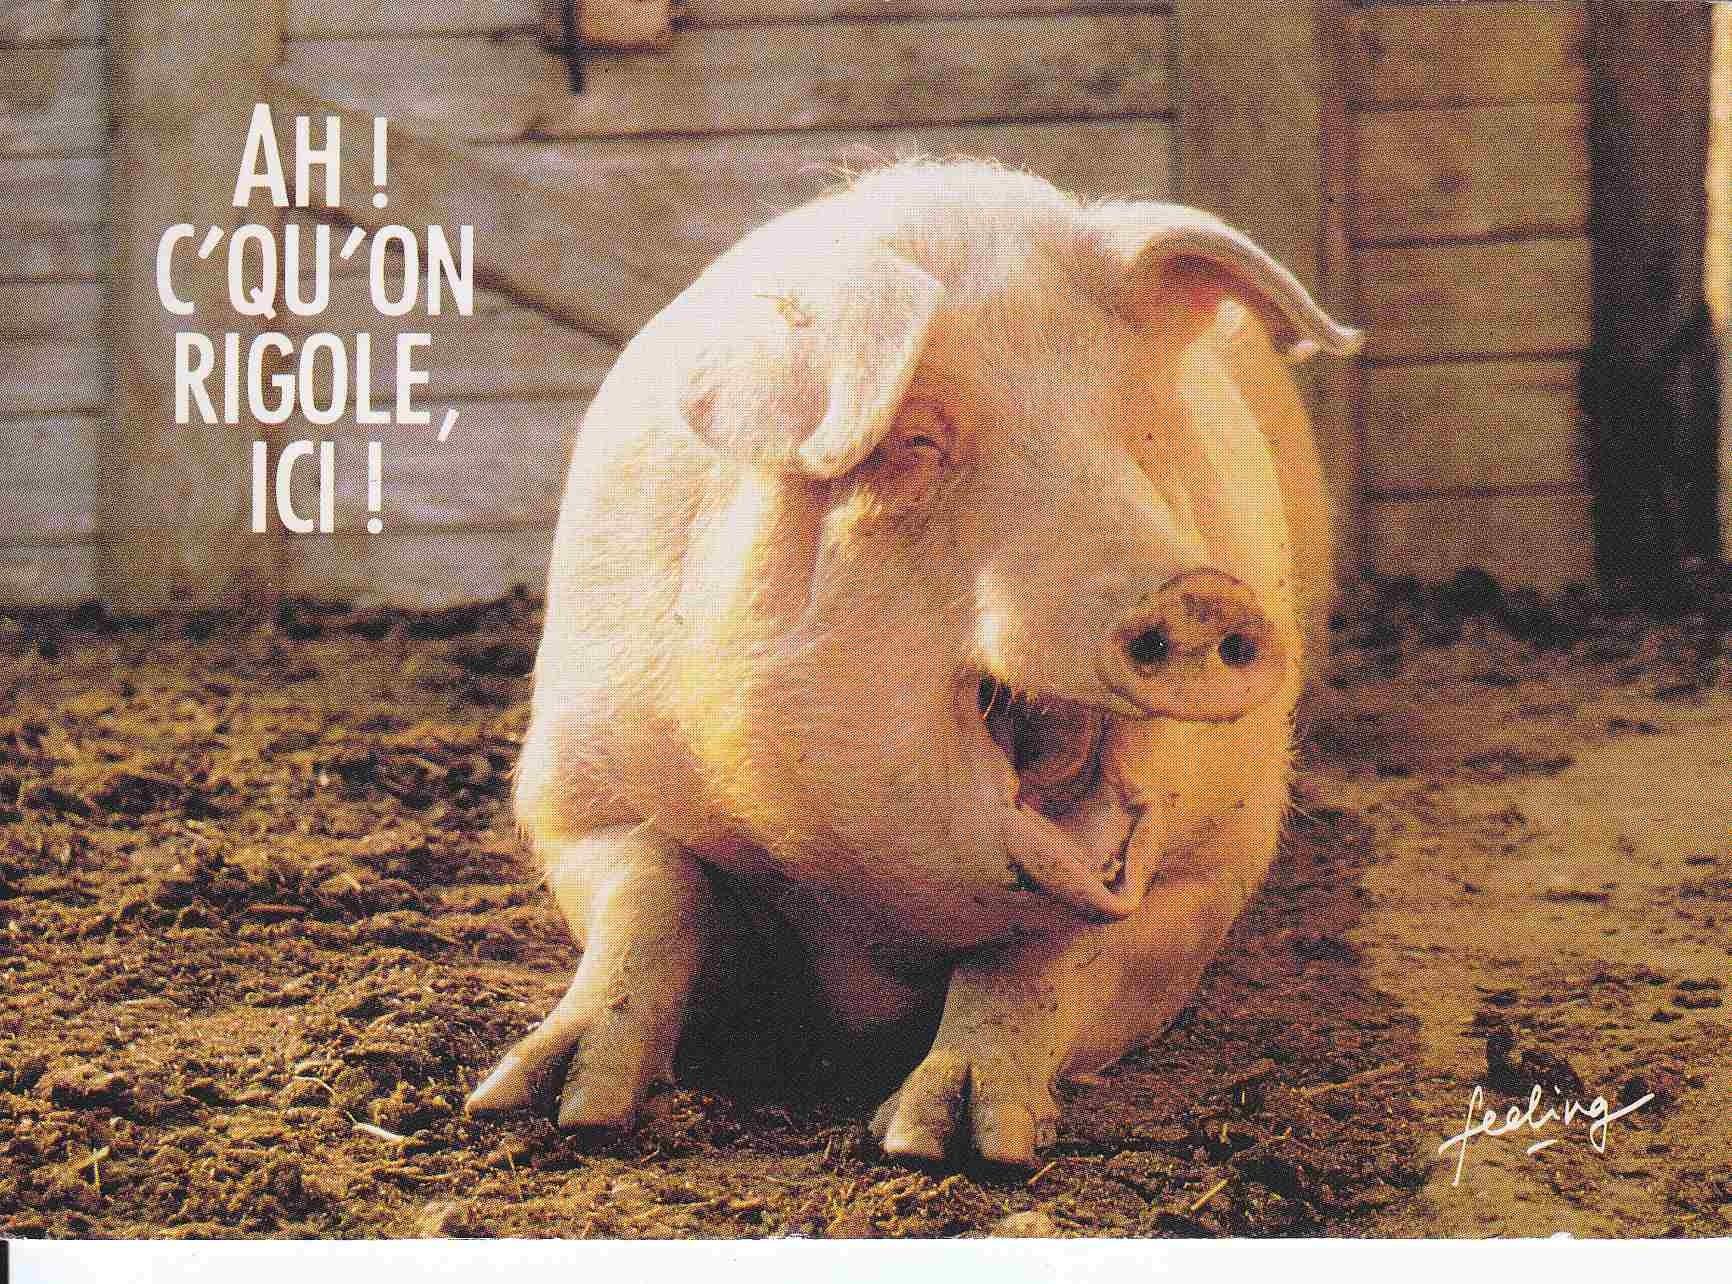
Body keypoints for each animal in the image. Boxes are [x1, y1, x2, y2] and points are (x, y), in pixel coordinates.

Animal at [464, 159, 1363, 1165]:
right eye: (919, 442)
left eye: (1144, 434)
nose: (1195, 592)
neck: (873, 923)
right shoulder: (576, 786)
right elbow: (651, 894)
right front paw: (543, 1106)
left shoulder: (1220, 860)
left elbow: (1042, 954)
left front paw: (944, 1143)